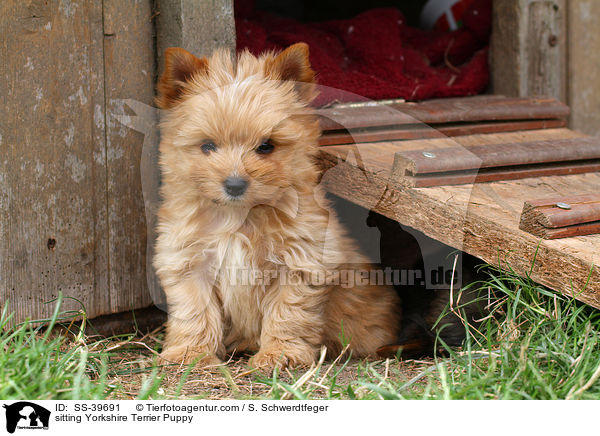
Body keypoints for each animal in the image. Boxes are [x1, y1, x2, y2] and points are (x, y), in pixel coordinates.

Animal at [154, 42, 398, 370]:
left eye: (266, 146)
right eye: (207, 146)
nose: (234, 184)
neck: (239, 217)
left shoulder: (299, 263)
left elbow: (288, 313)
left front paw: (280, 354)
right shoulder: (187, 262)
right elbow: (194, 310)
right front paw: (189, 353)